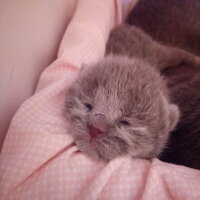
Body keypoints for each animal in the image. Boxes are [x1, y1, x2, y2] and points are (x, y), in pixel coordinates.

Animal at [64, 24, 200, 162]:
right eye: (88, 106)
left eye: (125, 122)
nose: (95, 128)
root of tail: (124, 25)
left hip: (155, 50)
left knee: (177, 53)